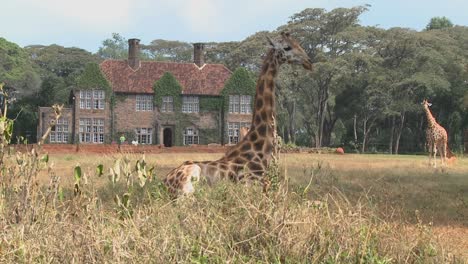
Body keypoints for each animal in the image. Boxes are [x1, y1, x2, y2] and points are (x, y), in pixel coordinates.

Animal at [163, 32, 312, 195]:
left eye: (298, 43)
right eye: (287, 47)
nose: (308, 61)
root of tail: (164, 181)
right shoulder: (251, 185)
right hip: (190, 180)